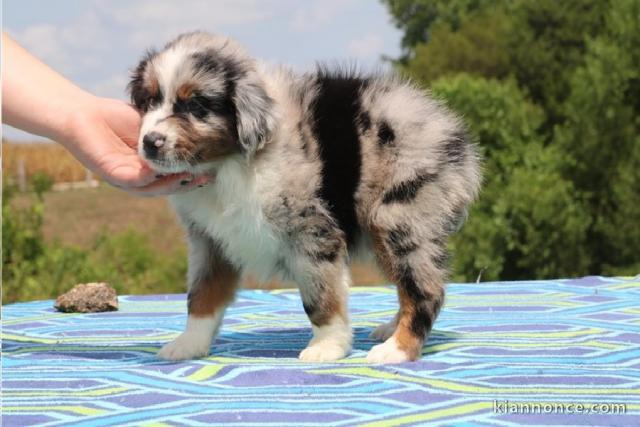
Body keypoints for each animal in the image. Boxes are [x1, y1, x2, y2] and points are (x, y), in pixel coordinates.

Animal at [129, 31, 480, 362]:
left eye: (196, 106)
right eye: (148, 101)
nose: (150, 142)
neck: (230, 162)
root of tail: (457, 141)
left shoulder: (311, 233)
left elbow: (320, 296)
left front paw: (327, 346)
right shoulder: (209, 240)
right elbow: (202, 294)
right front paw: (189, 343)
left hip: (400, 217)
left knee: (425, 289)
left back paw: (397, 349)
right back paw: (390, 330)